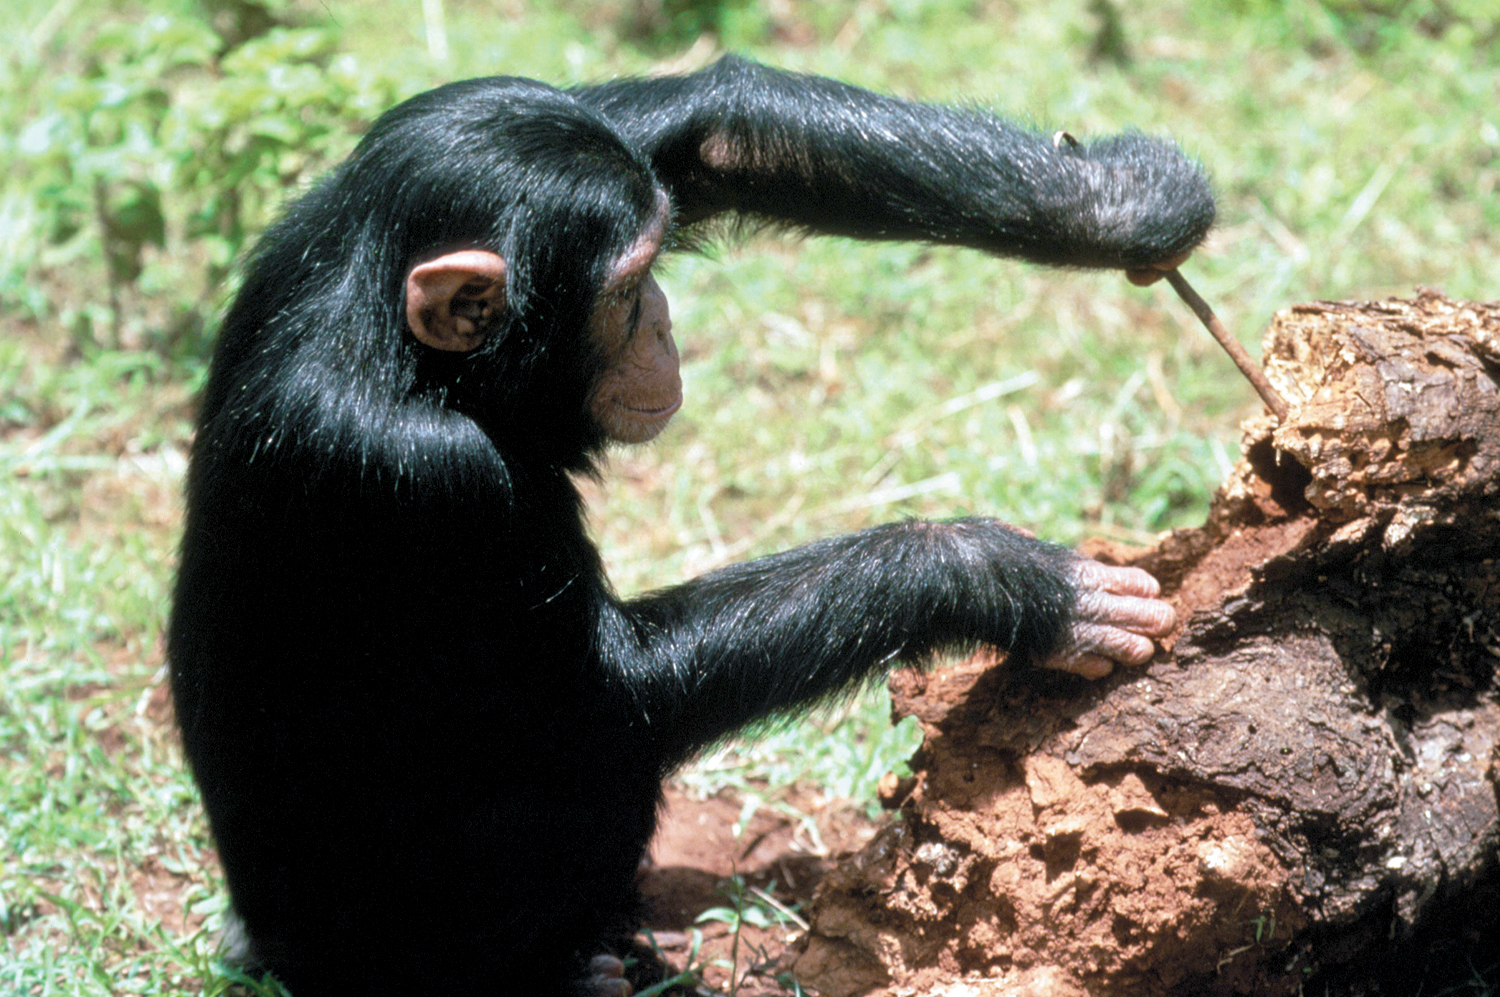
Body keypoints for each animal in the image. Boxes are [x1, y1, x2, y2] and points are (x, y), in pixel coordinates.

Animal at [170, 56, 1212, 995]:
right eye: (627, 292)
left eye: (653, 262)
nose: (665, 320)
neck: (420, 359)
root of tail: (260, 940)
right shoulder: (431, 474)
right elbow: (606, 694)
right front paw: (1003, 576)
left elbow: (709, 119)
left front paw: (1117, 200)